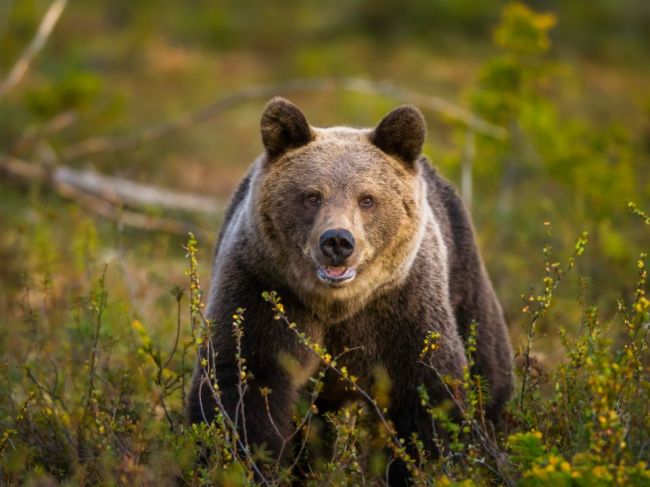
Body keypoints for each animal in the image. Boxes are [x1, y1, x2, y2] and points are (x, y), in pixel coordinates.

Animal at [187, 96, 512, 484]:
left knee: (490, 368)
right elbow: (240, 381)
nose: (338, 241)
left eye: (367, 198)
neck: (337, 305)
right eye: (312, 196)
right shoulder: (263, 288)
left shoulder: (402, 307)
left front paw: (425, 465)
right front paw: (241, 464)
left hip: (463, 276)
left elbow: (429, 393)